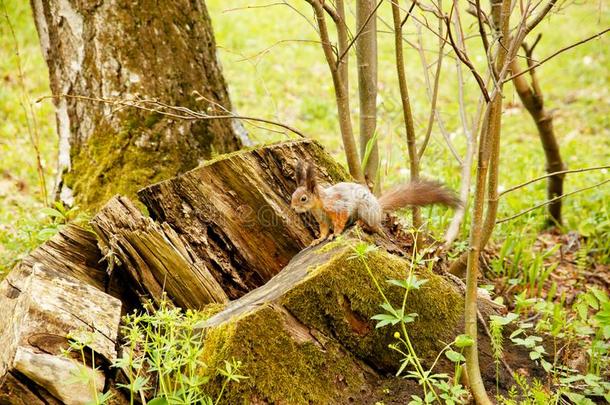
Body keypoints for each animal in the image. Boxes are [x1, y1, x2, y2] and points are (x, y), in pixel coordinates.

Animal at [288, 162, 456, 245]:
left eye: (303, 198)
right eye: (293, 195)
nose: (293, 207)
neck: (319, 204)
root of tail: (378, 208)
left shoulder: (338, 207)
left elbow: (340, 222)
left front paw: (334, 234)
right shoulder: (322, 220)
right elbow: (323, 230)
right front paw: (319, 239)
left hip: (365, 210)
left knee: (374, 226)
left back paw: (362, 224)